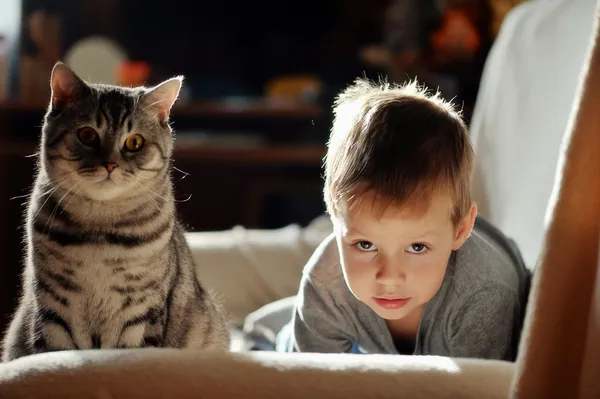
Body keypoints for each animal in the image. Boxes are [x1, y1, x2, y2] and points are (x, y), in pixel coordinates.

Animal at [1, 61, 230, 362]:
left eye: (135, 143)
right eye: (87, 135)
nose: (110, 165)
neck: (100, 227)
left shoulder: (139, 310)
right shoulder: (55, 305)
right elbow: (56, 349)